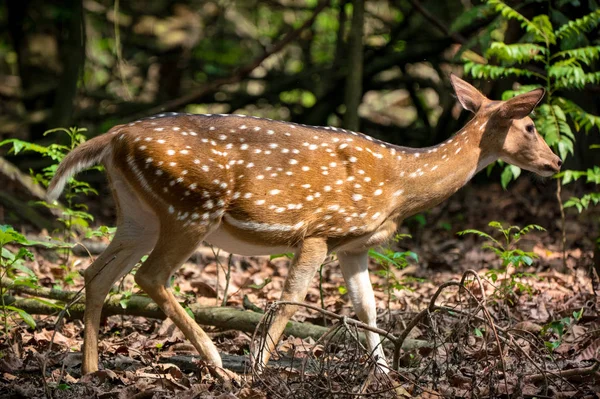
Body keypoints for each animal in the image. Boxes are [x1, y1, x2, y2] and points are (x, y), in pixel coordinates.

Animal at [48, 75, 564, 378]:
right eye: (531, 126)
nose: (557, 162)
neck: (399, 185)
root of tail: (115, 136)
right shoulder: (319, 231)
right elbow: (293, 298)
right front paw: (257, 370)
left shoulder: (353, 243)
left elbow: (367, 307)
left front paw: (386, 376)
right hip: (190, 207)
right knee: (149, 276)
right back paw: (217, 363)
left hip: (139, 215)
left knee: (95, 274)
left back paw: (91, 371)